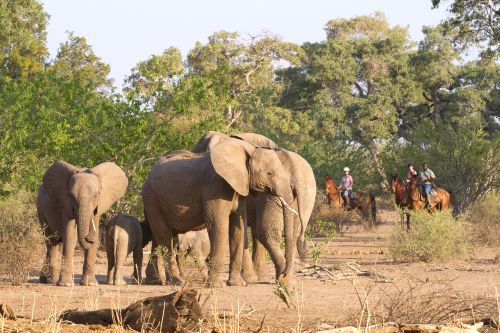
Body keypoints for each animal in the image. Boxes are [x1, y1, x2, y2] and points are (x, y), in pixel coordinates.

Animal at [142, 138, 296, 288]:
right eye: (269, 173)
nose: (283, 275)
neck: (247, 148)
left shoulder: (238, 187)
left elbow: (238, 227)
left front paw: (237, 284)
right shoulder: (215, 186)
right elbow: (219, 226)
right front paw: (216, 285)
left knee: (159, 238)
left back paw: (158, 282)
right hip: (152, 200)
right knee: (165, 239)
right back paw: (177, 282)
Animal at [192, 132, 316, 280]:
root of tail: (294, 169)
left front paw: (249, 278)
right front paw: (254, 277)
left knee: (267, 232)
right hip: (305, 195)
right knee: (286, 232)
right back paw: (284, 277)